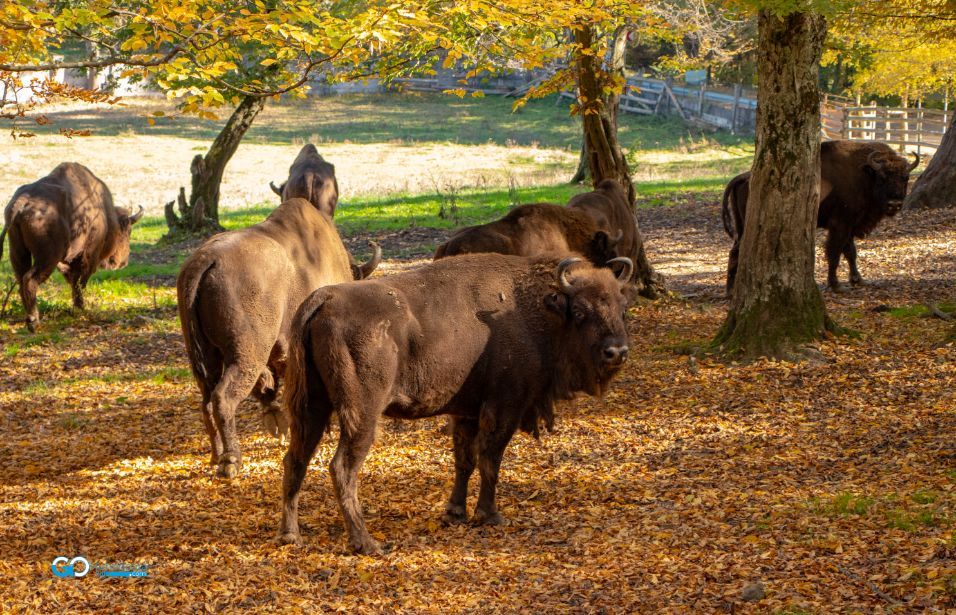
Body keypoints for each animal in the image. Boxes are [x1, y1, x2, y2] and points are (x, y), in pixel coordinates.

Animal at [0, 161, 144, 330]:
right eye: (128, 231)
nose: (123, 261)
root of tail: (22, 202)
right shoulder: (89, 256)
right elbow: (80, 281)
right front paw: (80, 308)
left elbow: (73, 280)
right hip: (48, 257)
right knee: (30, 280)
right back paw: (34, 321)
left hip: (17, 250)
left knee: (21, 278)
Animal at [177, 200, 380, 478]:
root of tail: (205, 260)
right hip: (244, 356)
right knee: (223, 398)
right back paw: (231, 461)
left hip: (206, 358)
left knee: (207, 401)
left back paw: (216, 455)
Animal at [274, 250, 636, 552]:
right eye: (581, 311)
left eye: (622, 307)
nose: (616, 351)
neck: (536, 308)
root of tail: (323, 298)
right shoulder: (504, 406)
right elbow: (490, 459)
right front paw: (489, 515)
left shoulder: (466, 412)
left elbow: (465, 460)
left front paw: (455, 512)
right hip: (361, 414)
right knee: (342, 468)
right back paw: (365, 543)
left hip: (310, 407)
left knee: (295, 460)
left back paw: (291, 535)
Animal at [724, 140, 920, 294]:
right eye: (882, 177)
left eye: (905, 177)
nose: (894, 203)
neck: (865, 175)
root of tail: (742, 177)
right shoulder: (840, 225)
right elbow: (835, 253)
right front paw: (836, 286)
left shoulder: (850, 225)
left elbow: (851, 252)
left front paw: (858, 280)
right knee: (737, 250)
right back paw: (731, 291)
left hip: (742, 226)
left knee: (735, 250)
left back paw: (730, 291)